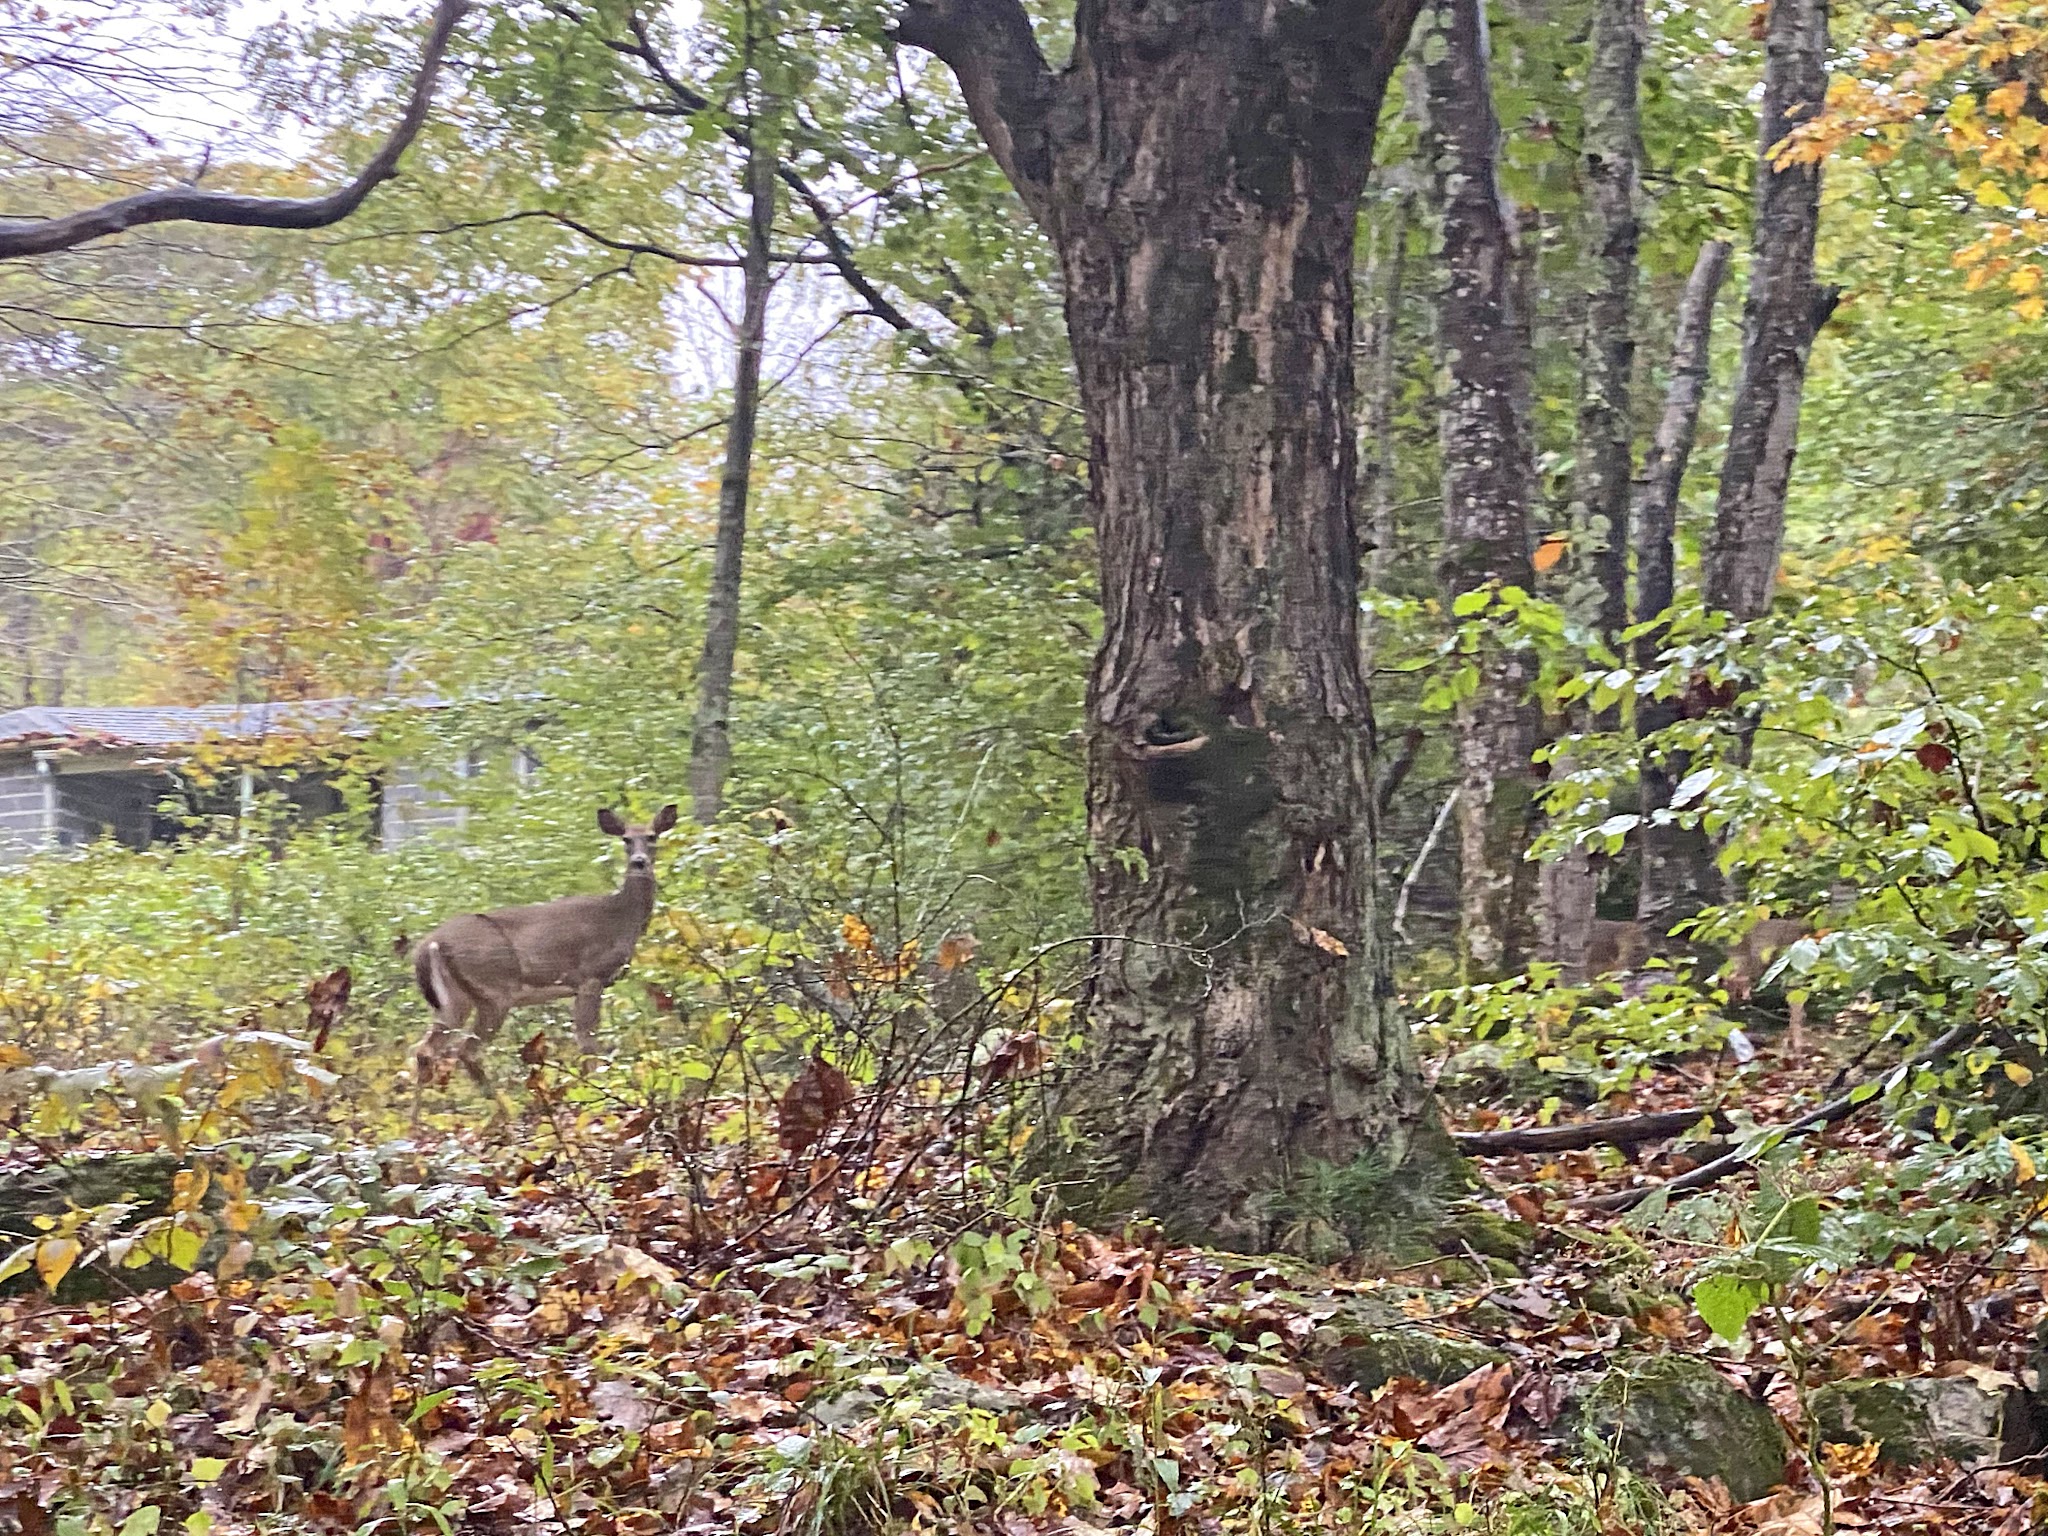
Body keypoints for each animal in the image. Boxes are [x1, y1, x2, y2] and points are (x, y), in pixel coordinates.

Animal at [410, 804, 676, 1114]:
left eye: (652, 836)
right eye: (625, 839)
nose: (639, 862)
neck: (620, 918)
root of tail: (430, 944)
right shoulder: (590, 976)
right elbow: (588, 1043)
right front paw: (594, 1097)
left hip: (454, 1000)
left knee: (426, 1050)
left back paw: (417, 1120)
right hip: (494, 990)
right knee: (467, 1051)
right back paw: (506, 1111)